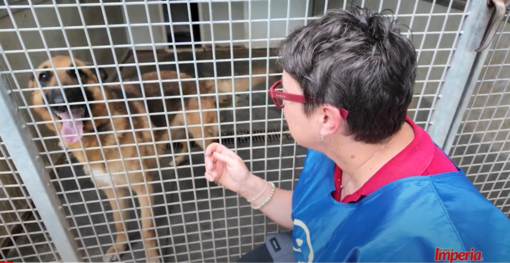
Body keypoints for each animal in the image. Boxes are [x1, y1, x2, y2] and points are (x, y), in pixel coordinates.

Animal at [29, 55, 276, 262]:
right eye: (44, 76)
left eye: (78, 73)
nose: (61, 100)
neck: (98, 135)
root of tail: (196, 80)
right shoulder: (112, 191)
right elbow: (119, 222)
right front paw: (119, 246)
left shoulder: (144, 188)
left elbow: (147, 230)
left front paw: (152, 258)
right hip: (173, 127)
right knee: (184, 141)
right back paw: (178, 159)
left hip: (200, 132)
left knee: (210, 146)